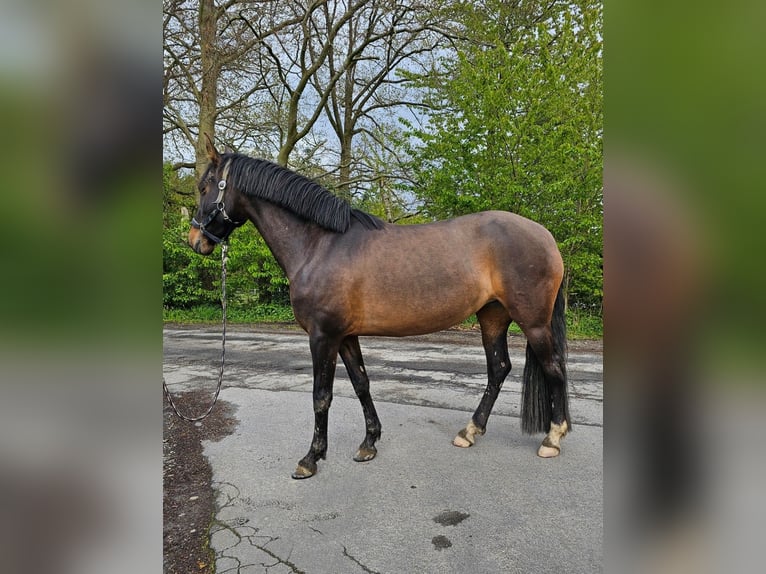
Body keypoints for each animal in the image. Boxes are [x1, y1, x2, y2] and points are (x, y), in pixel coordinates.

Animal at [189, 136, 572, 482]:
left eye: (205, 186)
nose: (196, 241)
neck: (320, 246)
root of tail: (546, 236)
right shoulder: (345, 336)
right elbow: (361, 384)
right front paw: (369, 442)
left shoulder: (323, 337)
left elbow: (321, 396)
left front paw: (311, 458)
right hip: (492, 316)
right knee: (499, 369)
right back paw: (470, 431)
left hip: (533, 322)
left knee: (553, 368)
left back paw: (552, 438)